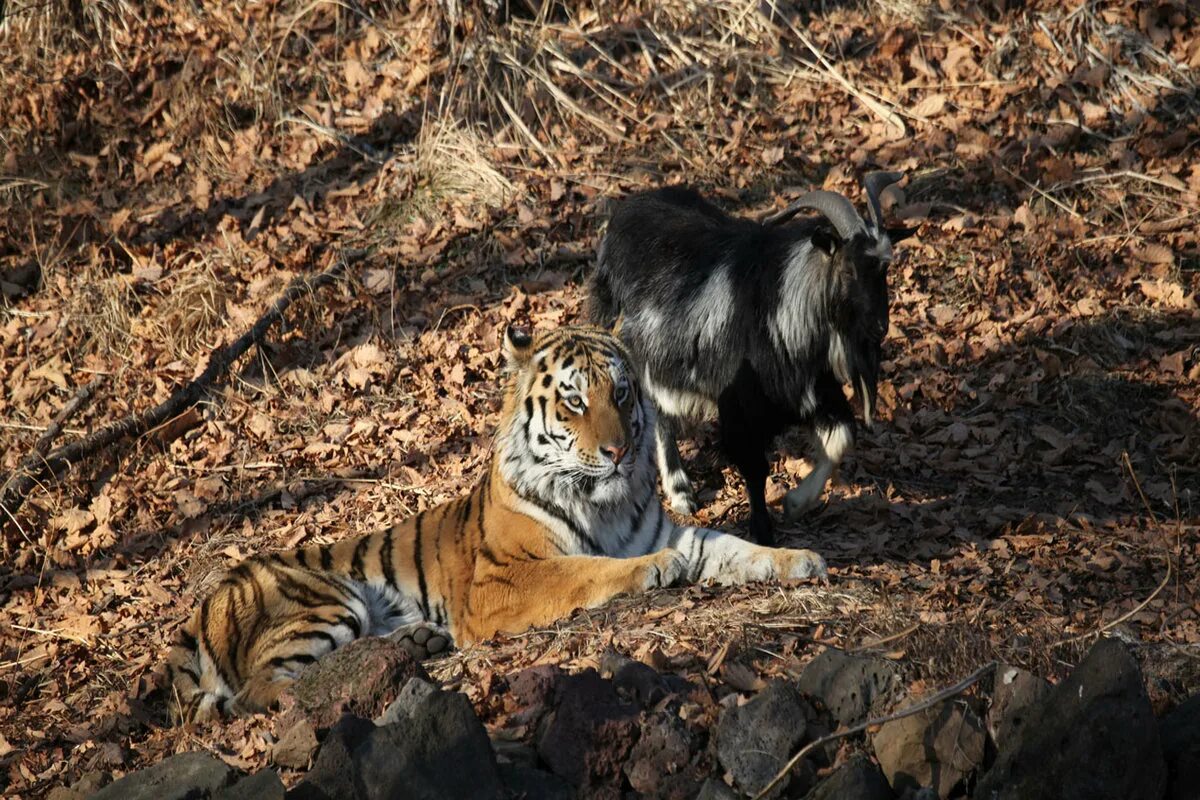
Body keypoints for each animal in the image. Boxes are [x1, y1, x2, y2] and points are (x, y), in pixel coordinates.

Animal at [169, 321, 825, 724]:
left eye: (621, 393)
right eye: (575, 400)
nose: (618, 452)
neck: (604, 501)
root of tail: (207, 600)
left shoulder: (672, 528)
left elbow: (733, 546)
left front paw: (802, 560)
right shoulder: (501, 579)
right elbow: (585, 570)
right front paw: (658, 569)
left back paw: (418, 643)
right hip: (323, 600)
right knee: (259, 691)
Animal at [585, 172, 902, 546]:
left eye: (883, 269)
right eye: (849, 269)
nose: (880, 327)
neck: (781, 306)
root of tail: (626, 210)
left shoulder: (814, 390)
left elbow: (842, 438)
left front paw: (795, 503)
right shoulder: (740, 405)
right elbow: (755, 467)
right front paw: (762, 532)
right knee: (657, 413)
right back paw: (679, 491)